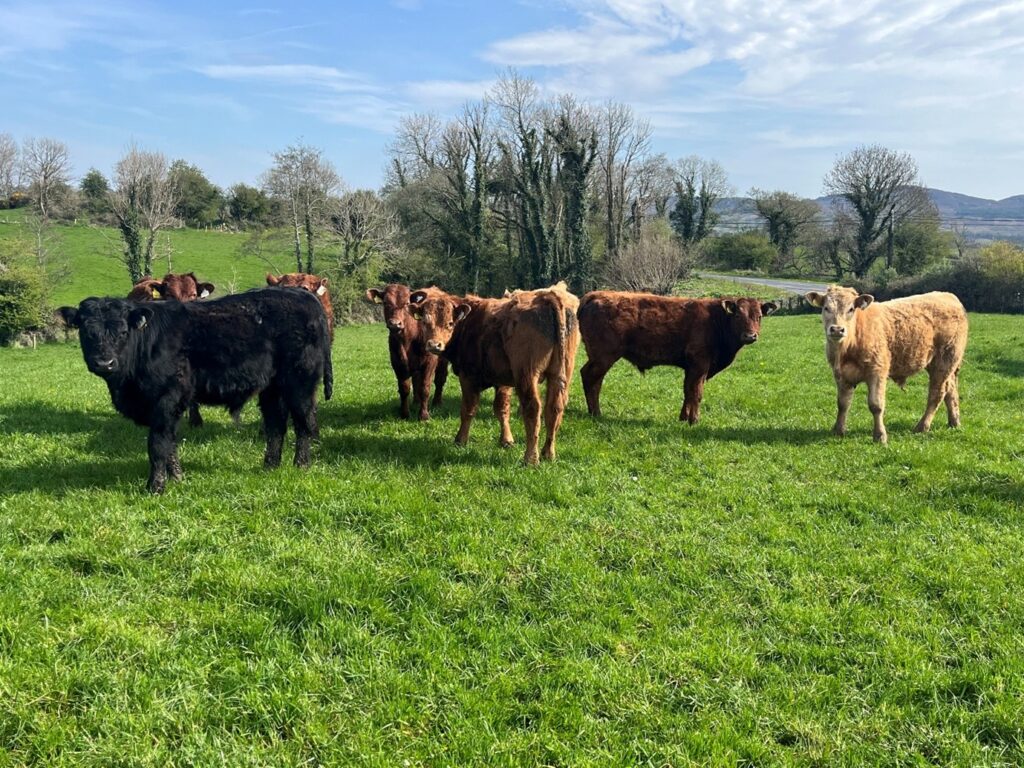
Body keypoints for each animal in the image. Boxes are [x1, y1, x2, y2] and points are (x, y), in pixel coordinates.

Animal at [57, 288, 333, 494]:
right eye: (87, 332)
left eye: (123, 332)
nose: (104, 363)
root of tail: (303, 294)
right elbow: (170, 444)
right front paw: (177, 478)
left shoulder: (167, 399)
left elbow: (157, 444)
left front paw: (155, 487)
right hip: (272, 388)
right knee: (276, 425)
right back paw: (270, 466)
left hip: (300, 381)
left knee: (303, 423)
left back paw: (301, 465)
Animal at [365, 284, 448, 420]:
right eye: (385, 302)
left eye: (406, 303)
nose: (395, 324)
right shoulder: (397, 362)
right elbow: (404, 388)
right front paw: (404, 414)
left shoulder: (429, 361)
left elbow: (425, 387)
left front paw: (424, 415)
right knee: (416, 380)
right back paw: (416, 402)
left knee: (440, 379)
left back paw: (437, 402)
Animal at [409, 283, 580, 465]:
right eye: (425, 321)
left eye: (450, 323)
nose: (434, 345)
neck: (469, 323)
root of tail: (548, 297)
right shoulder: (503, 381)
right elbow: (501, 409)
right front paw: (506, 440)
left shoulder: (468, 376)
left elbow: (468, 409)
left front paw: (460, 440)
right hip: (560, 374)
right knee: (554, 408)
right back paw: (548, 453)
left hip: (526, 374)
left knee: (533, 408)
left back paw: (531, 458)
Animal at [578, 291, 778, 424]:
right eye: (737, 315)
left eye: (759, 316)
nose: (750, 336)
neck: (715, 320)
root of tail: (595, 295)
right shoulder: (700, 365)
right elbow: (696, 393)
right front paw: (694, 420)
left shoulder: (691, 369)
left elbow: (687, 391)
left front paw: (683, 418)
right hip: (604, 357)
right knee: (590, 378)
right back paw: (596, 412)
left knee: (594, 380)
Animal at [804, 286, 968, 444]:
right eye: (826, 308)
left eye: (851, 309)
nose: (837, 329)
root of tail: (949, 296)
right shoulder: (841, 375)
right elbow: (843, 404)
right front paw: (838, 430)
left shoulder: (877, 371)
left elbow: (876, 405)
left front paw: (880, 435)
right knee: (950, 390)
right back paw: (954, 422)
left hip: (944, 362)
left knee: (937, 393)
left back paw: (922, 426)